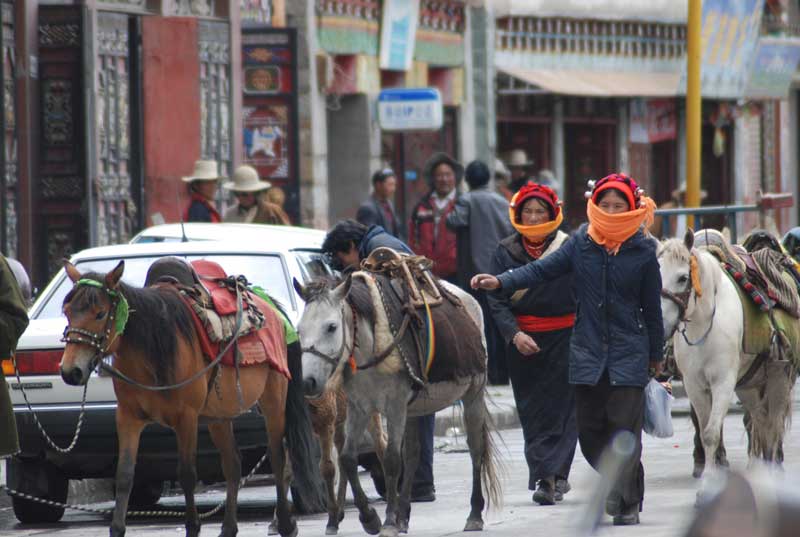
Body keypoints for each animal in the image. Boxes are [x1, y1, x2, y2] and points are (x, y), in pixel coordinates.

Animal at [57, 262, 324, 536]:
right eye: (67, 312)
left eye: (100, 314)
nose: (70, 371)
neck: (152, 347)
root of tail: (272, 307)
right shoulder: (128, 417)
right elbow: (124, 474)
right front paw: (117, 528)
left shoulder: (186, 418)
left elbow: (186, 474)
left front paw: (193, 526)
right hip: (219, 416)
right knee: (233, 465)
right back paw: (228, 528)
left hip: (274, 401)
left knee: (278, 457)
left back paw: (285, 523)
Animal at [294, 272, 500, 536]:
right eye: (299, 330)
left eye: (331, 327)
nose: (307, 382)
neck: (369, 348)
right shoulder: (359, 409)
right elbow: (348, 458)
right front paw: (370, 518)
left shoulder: (394, 407)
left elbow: (391, 460)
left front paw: (388, 521)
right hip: (415, 408)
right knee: (413, 455)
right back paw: (404, 517)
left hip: (473, 393)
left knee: (475, 448)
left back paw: (474, 514)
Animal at [656, 229, 792, 486]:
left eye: (682, 278)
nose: (661, 325)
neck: (704, 325)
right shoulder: (694, 384)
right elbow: (706, 429)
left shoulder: (723, 382)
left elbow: (711, 432)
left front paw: (710, 479)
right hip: (750, 384)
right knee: (759, 419)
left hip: (779, 378)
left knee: (773, 422)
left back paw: (773, 467)